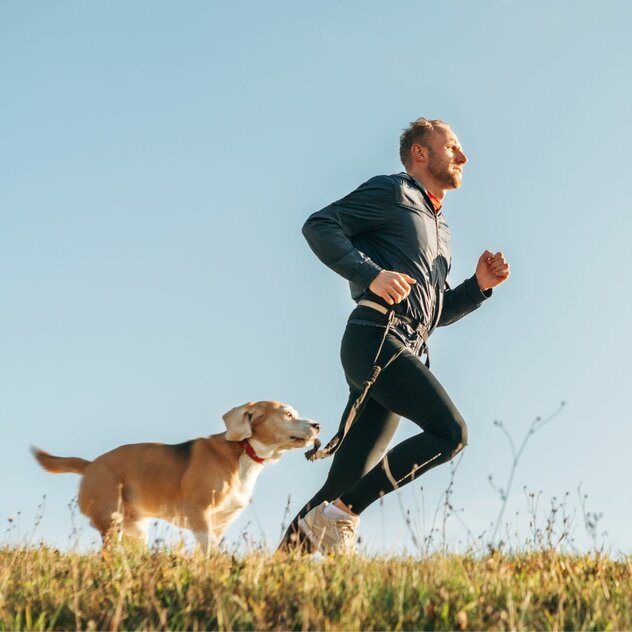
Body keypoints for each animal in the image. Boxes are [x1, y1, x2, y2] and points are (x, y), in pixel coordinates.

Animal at [32, 402, 318, 552]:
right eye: (287, 414)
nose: (317, 425)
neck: (243, 452)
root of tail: (91, 465)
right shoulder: (198, 513)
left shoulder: (219, 524)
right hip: (112, 521)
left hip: (135, 530)